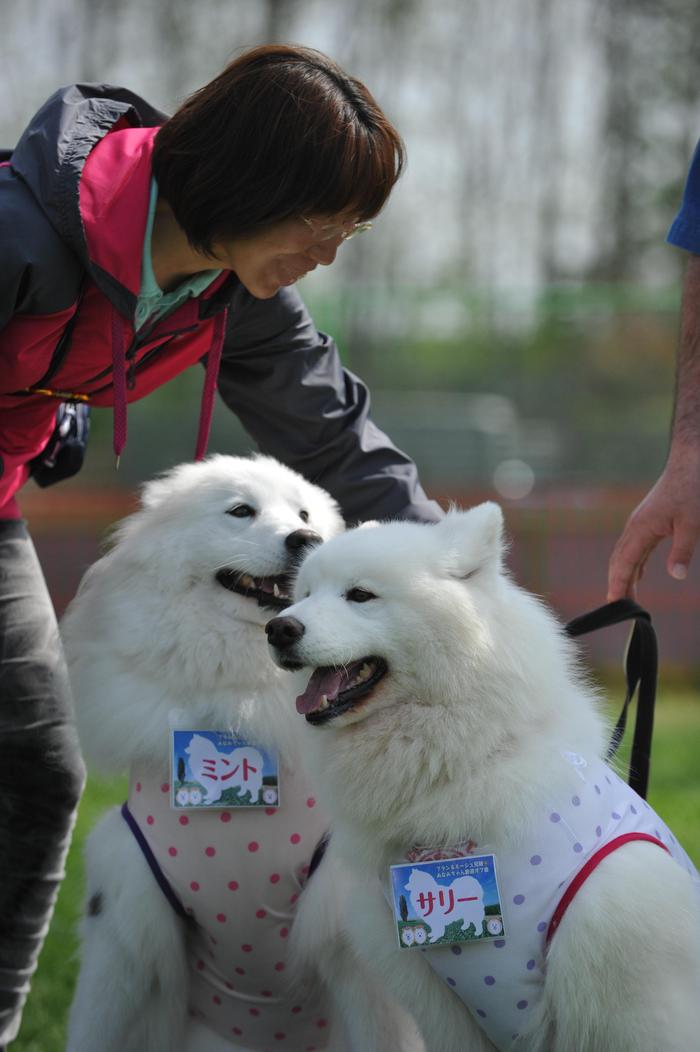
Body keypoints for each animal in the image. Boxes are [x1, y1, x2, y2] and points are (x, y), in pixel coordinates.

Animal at [60, 456, 421, 1052]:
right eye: (240, 511)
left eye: (304, 514)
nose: (306, 539)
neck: (244, 695)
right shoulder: (125, 923)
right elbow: (94, 1032)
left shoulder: (353, 941)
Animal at [266, 502, 698, 1052]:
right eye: (303, 595)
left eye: (360, 595)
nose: (277, 629)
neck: (467, 758)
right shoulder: (436, 1002)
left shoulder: (630, 998)